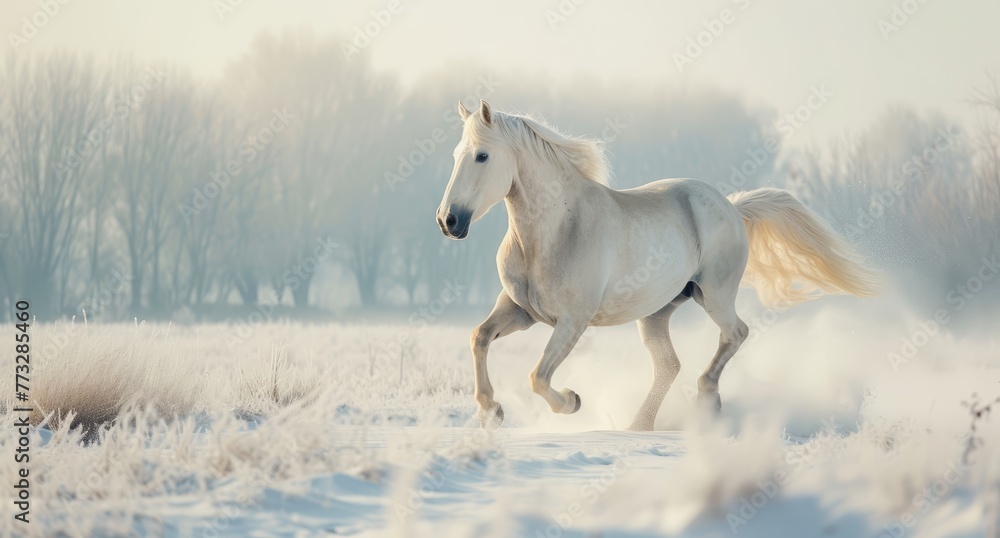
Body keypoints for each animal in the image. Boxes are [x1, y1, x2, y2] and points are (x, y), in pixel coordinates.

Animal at [435, 100, 879, 431]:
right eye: (456, 155)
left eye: (482, 155)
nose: (448, 221)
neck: (554, 229)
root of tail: (732, 207)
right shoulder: (521, 311)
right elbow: (478, 338)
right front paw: (490, 411)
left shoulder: (572, 321)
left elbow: (538, 377)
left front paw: (572, 402)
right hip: (657, 312)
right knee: (669, 365)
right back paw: (639, 426)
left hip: (714, 295)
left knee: (735, 333)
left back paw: (706, 401)